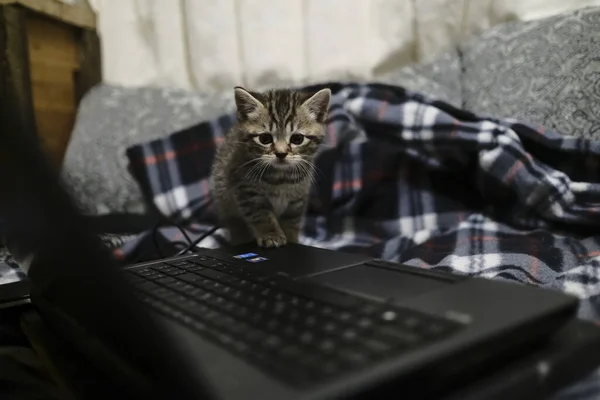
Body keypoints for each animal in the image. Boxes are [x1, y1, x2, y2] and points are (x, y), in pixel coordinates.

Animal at [211, 86, 330, 247]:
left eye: (297, 139)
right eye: (265, 139)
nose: (281, 153)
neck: (281, 178)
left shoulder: (298, 197)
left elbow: (291, 221)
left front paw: (292, 240)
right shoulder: (245, 189)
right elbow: (261, 214)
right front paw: (271, 234)